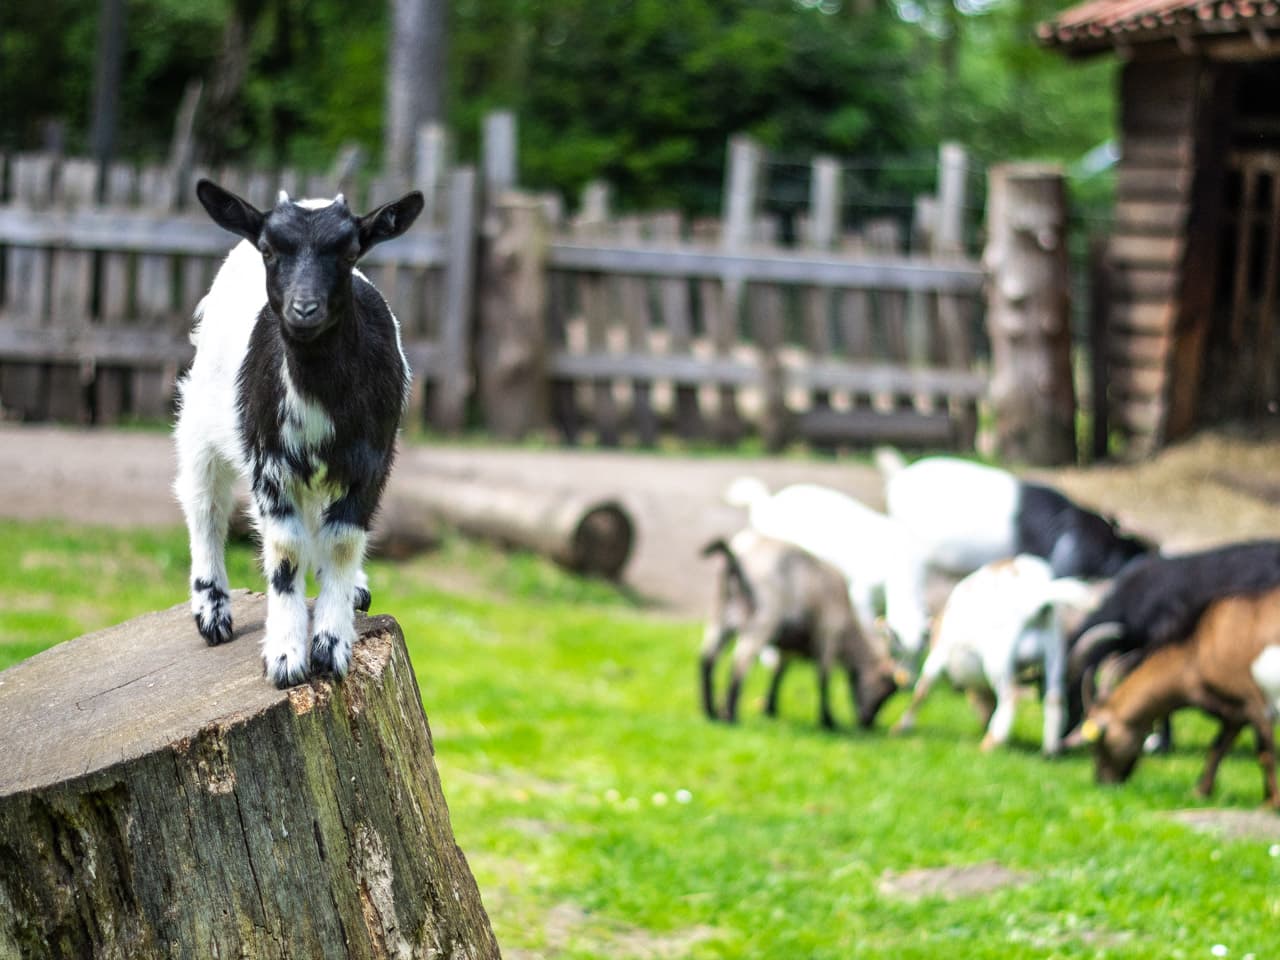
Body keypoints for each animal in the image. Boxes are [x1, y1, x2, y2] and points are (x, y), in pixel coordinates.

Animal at [174, 180, 423, 687]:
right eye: (270, 250)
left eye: (350, 252)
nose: (303, 310)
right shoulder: (269, 460)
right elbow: (285, 551)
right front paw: (287, 657)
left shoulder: (372, 461)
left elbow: (343, 542)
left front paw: (332, 645)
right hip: (200, 414)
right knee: (204, 501)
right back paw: (212, 610)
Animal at [700, 530, 901, 731]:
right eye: (886, 689)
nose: (867, 722)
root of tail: (739, 552)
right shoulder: (828, 633)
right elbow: (823, 676)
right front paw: (828, 720)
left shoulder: (787, 646)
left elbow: (779, 672)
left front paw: (771, 709)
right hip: (762, 619)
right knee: (739, 665)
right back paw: (731, 717)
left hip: (720, 615)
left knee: (707, 659)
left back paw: (711, 712)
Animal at [726, 477, 930, 658]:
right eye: (897, 647)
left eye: (919, 654)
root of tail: (767, 502)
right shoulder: (861, 591)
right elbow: (866, 625)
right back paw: (769, 654)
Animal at [891, 555, 1098, 755]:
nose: (983, 720)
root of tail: (1037, 599)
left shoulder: (938, 655)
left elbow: (922, 689)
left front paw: (902, 726)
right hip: (1054, 654)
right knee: (1054, 699)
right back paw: (1050, 750)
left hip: (998, 657)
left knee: (1010, 696)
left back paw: (990, 744)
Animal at [1066, 586, 1280, 807]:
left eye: (1098, 743)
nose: (1103, 781)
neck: (1197, 650)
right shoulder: (1235, 711)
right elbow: (1217, 747)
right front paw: (1200, 792)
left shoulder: (1255, 702)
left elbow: (1264, 752)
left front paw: (1272, 802)